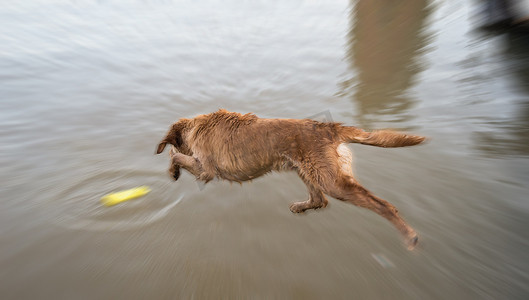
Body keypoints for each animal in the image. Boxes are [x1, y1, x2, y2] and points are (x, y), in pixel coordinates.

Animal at [156, 109, 424, 250]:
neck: (196, 126)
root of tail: (329, 127)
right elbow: (176, 155)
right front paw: (173, 170)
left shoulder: (206, 170)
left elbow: (175, 156)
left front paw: (173, 170)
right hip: (306, 170)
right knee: (319, 200)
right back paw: (300, 206)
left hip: (331, 181)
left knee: (383, 205)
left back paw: (409, 236)